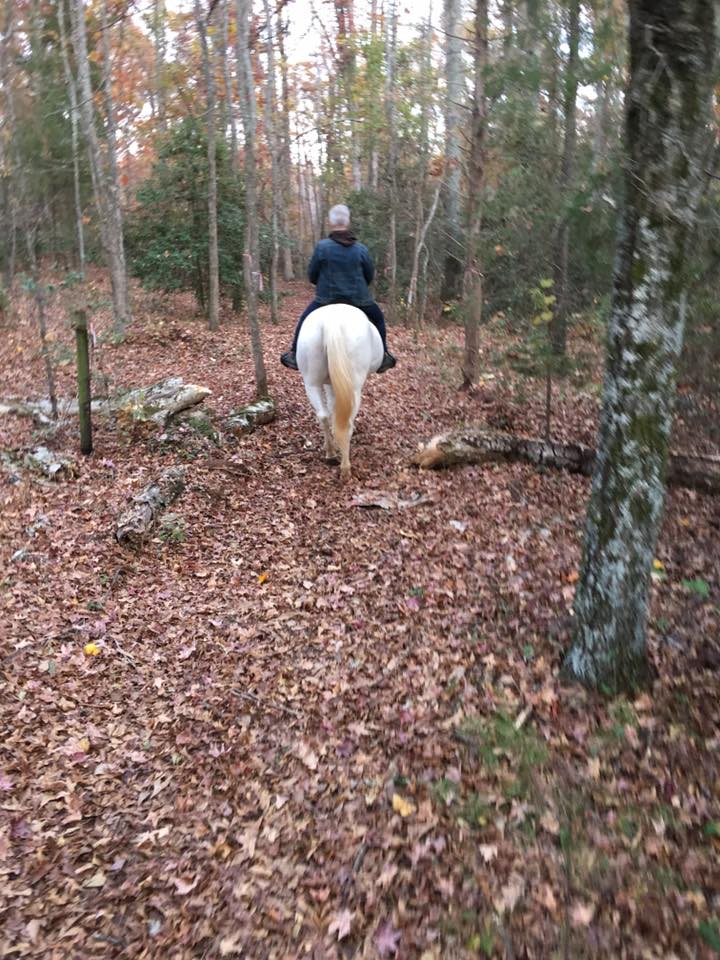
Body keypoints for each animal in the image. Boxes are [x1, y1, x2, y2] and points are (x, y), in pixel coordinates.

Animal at [296, 304, 382, 480]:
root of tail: (332, 321)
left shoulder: (330, 384)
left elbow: (332, 408)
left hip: (311, 383)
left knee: (323, 415)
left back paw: (330, 453)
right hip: (354, 388)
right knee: (346, 424)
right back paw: (345, 468)